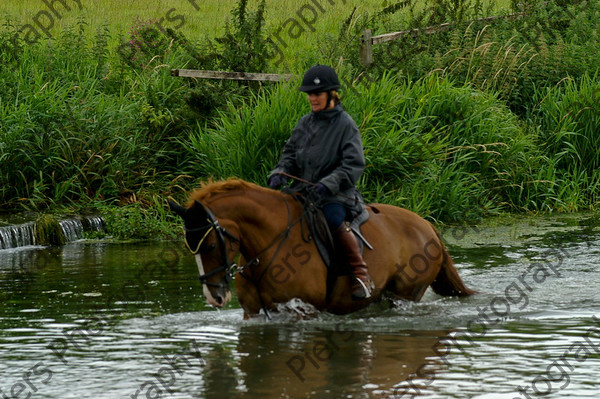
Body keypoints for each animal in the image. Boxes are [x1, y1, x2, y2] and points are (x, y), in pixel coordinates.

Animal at [168, 180, 474, 320]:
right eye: (190, 247)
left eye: (209, 245)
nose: (215, 297)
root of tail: (428, 226)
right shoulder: (252, 313)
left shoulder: (305, 310)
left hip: (405, 295)